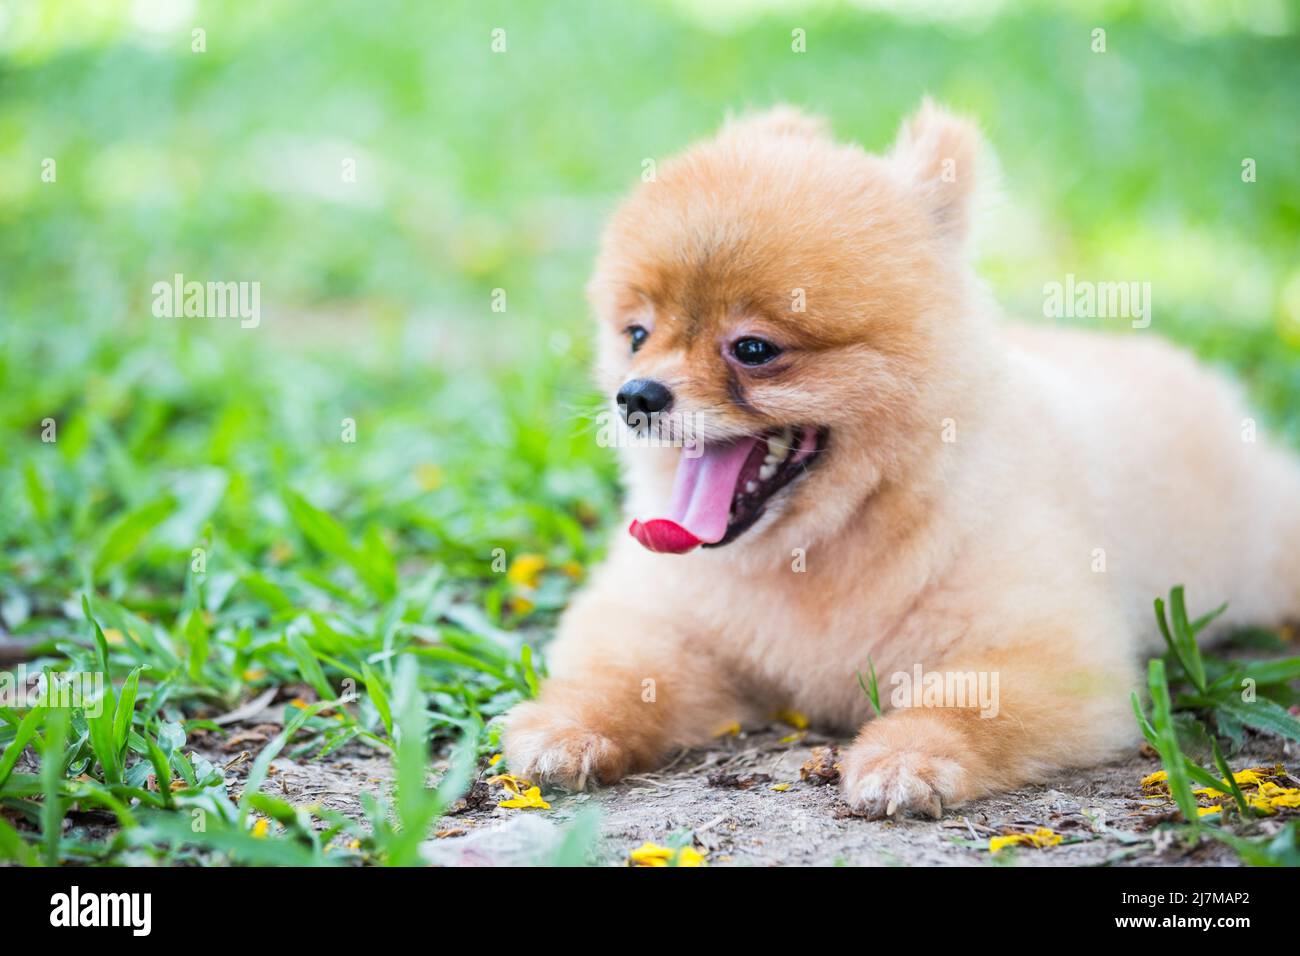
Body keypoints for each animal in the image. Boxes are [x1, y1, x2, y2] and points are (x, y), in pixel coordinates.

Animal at [499, 100, 1300, 816]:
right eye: (637, 335)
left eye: (753, 349)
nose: (636, 395)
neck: (819, 547)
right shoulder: (666, 625)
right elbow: (621, 675)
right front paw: (567, 728)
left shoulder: (1045, 653)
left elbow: (960, 704)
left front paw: (906, 760)